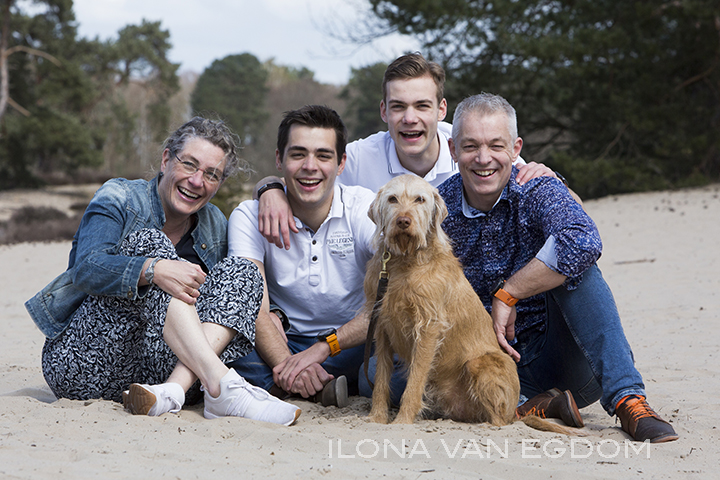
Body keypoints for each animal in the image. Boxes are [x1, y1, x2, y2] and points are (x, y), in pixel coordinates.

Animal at [364, 174, 574, 434]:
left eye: (419, 199)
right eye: (392, 199)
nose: (403, 221)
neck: (405, 261)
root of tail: (515, 411)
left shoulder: (428, 327)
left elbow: (415, 380)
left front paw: (402, 421)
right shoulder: (381, 323)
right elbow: (380, 380)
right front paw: (377, 417)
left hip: (478, 363)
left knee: (499, 420)